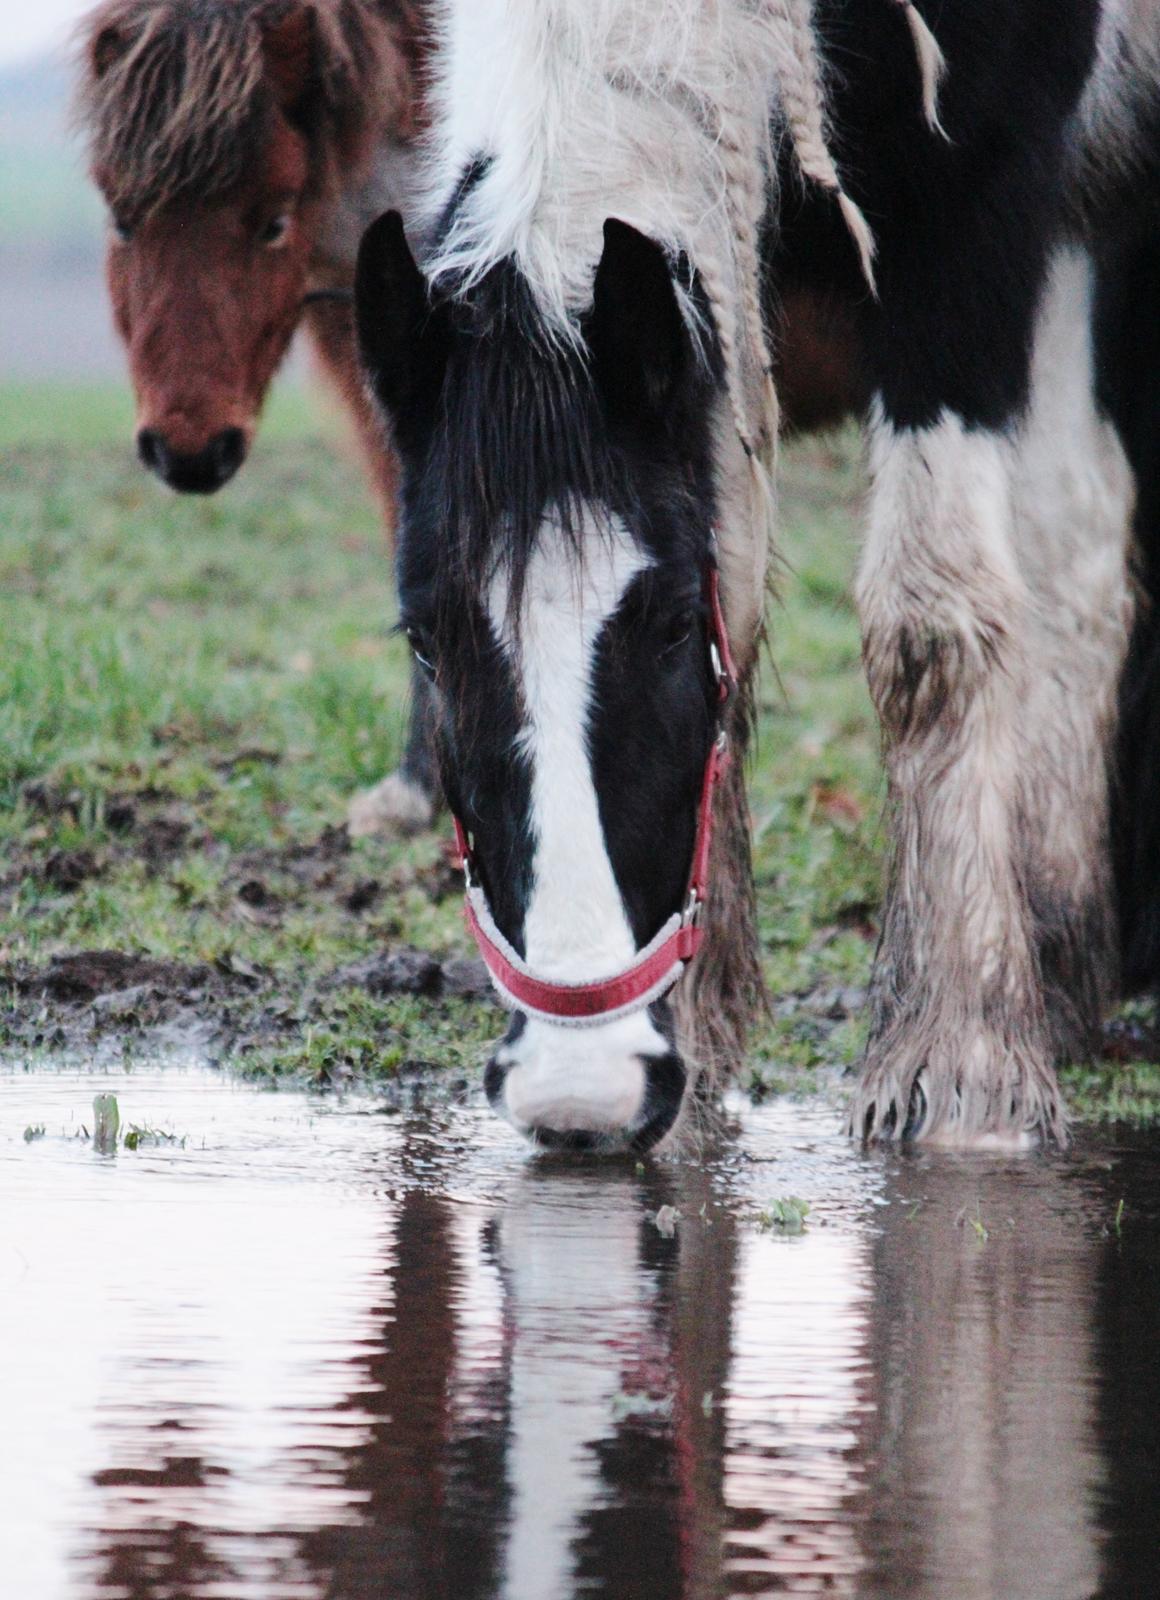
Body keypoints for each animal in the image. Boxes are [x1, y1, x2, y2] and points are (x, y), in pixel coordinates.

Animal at [355, 0, 1158, 1152]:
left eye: (665, 622)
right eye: (425, 640)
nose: (577, 1091)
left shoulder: (976, 204)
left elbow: (931, 619)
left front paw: (960, 1059)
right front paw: (697, 1042)